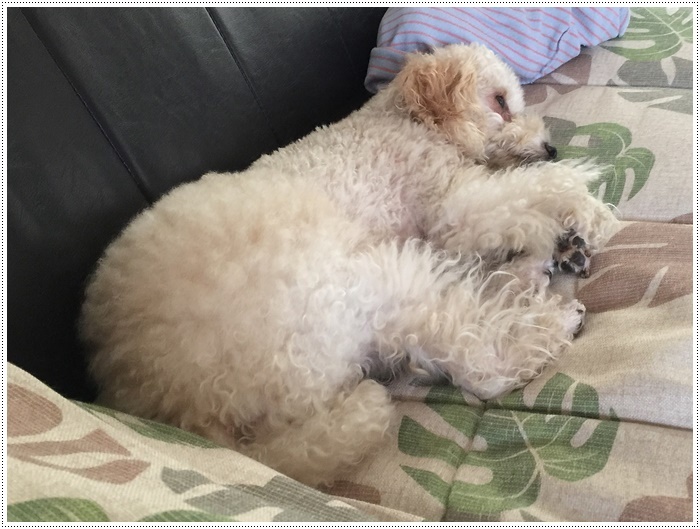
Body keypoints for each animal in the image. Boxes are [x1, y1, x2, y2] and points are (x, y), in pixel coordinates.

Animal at [83, 43, 616, 484]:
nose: (550, 147)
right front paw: (589, 210)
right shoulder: (450, 207)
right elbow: (539, 188)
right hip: (354, 288)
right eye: (500, 101)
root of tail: (189, 409)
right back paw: (551, 319)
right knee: (475, 359)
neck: (410, 121)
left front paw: (566, 237)